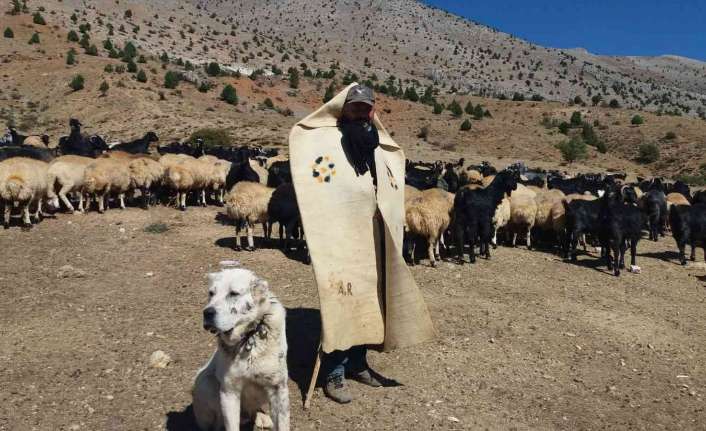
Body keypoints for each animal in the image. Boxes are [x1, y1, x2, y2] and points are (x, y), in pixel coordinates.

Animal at [191, 268, 288, 430]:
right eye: (211, 293)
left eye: (233, 293)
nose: (207, 313)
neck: (249, 337)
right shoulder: (229, 391)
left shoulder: (278, 388)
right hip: (206, 384)